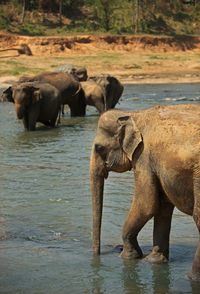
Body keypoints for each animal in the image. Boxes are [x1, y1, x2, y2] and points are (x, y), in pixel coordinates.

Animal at [90, 103, 200, 280]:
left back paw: (192, 278)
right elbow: (162, 206)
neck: (134, 115)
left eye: (99, 147)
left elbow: (147, 203)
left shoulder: (144, 157)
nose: (98, 254)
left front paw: (127, 257)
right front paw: (154, 261)